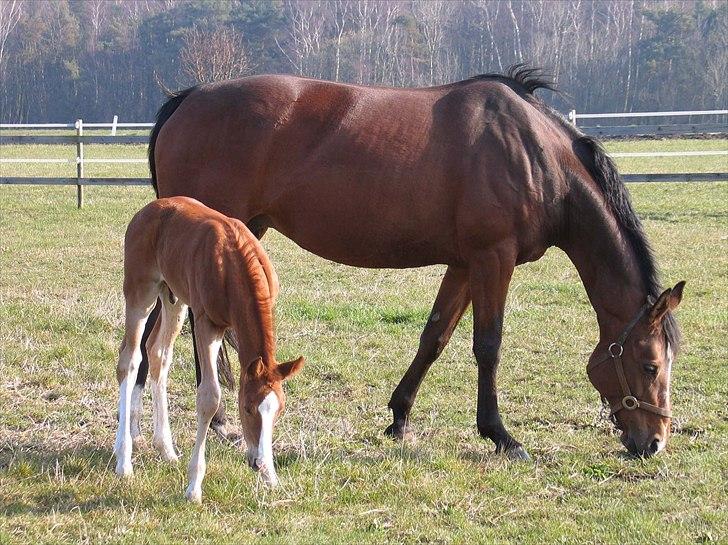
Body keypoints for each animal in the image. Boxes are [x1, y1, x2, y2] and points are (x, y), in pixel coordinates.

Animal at [113, 197, 304, 502]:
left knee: (157, 354)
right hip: (140, 292)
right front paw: (194, 486)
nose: (258, 463)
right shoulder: (206, 323)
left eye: (279, 410)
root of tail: (148, 210)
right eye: (247, 408)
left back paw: (166, 449)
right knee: (129, 360)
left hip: (173, 298)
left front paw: (271, 477)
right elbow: (209, 398)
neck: (234, 262)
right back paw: (124, 461)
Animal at [135, 67, 684, 460]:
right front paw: (501, 436)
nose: (654, 443)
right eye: (650, 364)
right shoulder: (494, 258)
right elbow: (488, 346)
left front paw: (399, 419)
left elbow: (435, 337)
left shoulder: (464, 264)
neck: (534, 153)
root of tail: (188, 98)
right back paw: (198, 420)